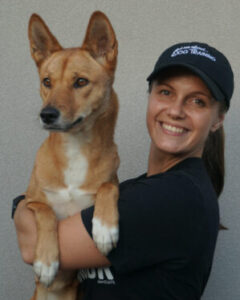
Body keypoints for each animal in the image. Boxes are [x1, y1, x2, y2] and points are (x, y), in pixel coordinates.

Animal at [25, 10, 119, 298]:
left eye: (80, 82)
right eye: (47, 81)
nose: (47, 115)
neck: (75, 147)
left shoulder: (110, 182)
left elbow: (108, 187)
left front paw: (104, 228)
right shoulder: (29, 203)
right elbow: (45, 210)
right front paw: (46, 262)